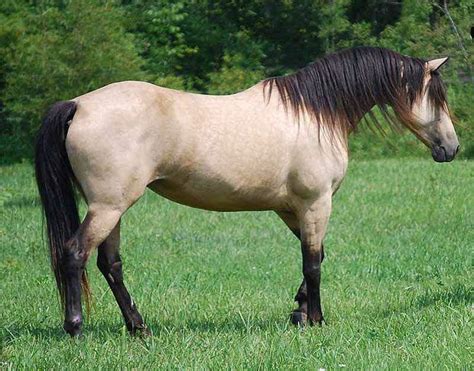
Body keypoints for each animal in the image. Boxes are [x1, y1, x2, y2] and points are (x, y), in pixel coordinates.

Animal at [36, 46, 460, 338]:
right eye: (437, 98)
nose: (452, 149)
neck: (316, 113)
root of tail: (79, 105)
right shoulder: (315, 204)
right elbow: (313, 263)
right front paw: (316, 320)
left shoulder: (291, 208)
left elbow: (316, 256)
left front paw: (298, 313)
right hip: (108, 206)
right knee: (74, 255)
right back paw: (75, 327)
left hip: (113, 207)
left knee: (110, 265)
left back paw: (138, 327)